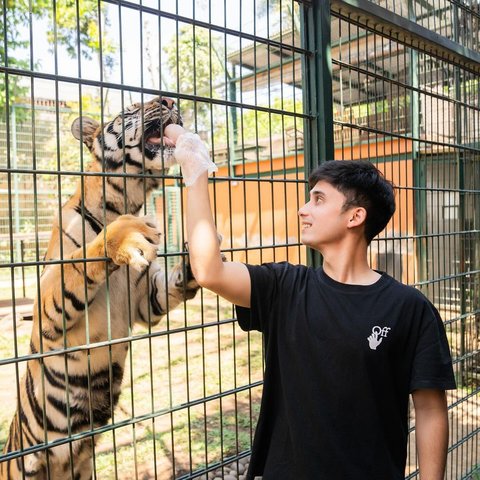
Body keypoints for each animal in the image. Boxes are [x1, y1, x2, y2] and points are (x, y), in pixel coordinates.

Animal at [0, 95, 199, 478]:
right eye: (131, 108)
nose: (169, 99)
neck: (124, 201)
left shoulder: (144, 300)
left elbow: (168, 286)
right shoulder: (49, 309)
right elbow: (86, 257)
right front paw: (126, 232)